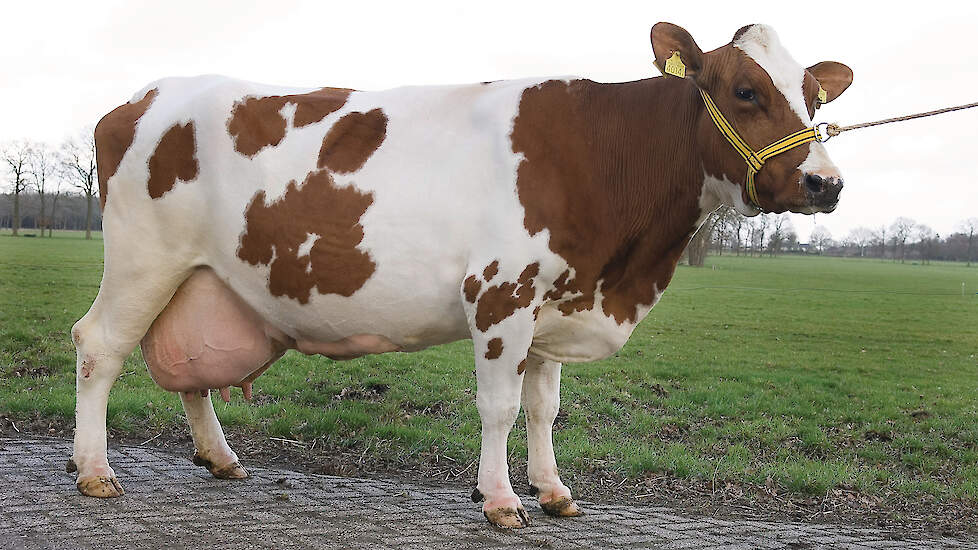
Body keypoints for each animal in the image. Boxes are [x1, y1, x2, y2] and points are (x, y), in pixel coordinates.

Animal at [70, 22, 848, 532]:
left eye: (817, 98)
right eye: (746, 90)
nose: (825, 183)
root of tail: (141, 98)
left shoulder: (554, 300)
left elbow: (543, 408)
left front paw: (553, 490)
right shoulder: (502, 291)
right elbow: (499, 406)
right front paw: (500, 500)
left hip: (202, 277)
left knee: (189, 370)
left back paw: (220, 457)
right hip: (144, 258)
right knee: (98, 346)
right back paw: (95, 472)